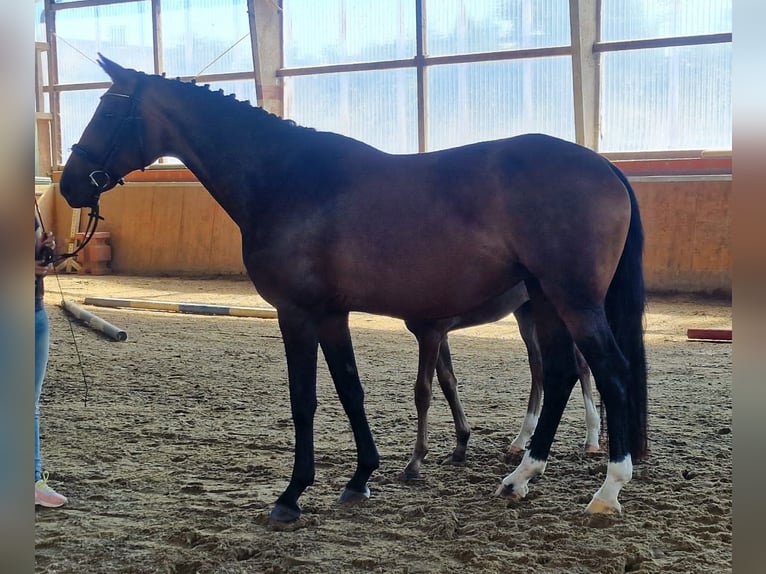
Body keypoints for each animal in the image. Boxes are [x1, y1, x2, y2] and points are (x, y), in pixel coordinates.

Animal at [58, 56, 648, 524]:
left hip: (572, 300)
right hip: (545, 301)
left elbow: (305, 399)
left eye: (107, 112)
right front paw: (361, 478)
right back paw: (521, 478)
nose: (68, 184)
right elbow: (350, 390)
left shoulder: (296, 313)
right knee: (564, 373)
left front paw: (292, 496)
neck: (287, 178)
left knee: (608, 371)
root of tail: (605, 167)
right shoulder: (332, 314)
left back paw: (606, 490)